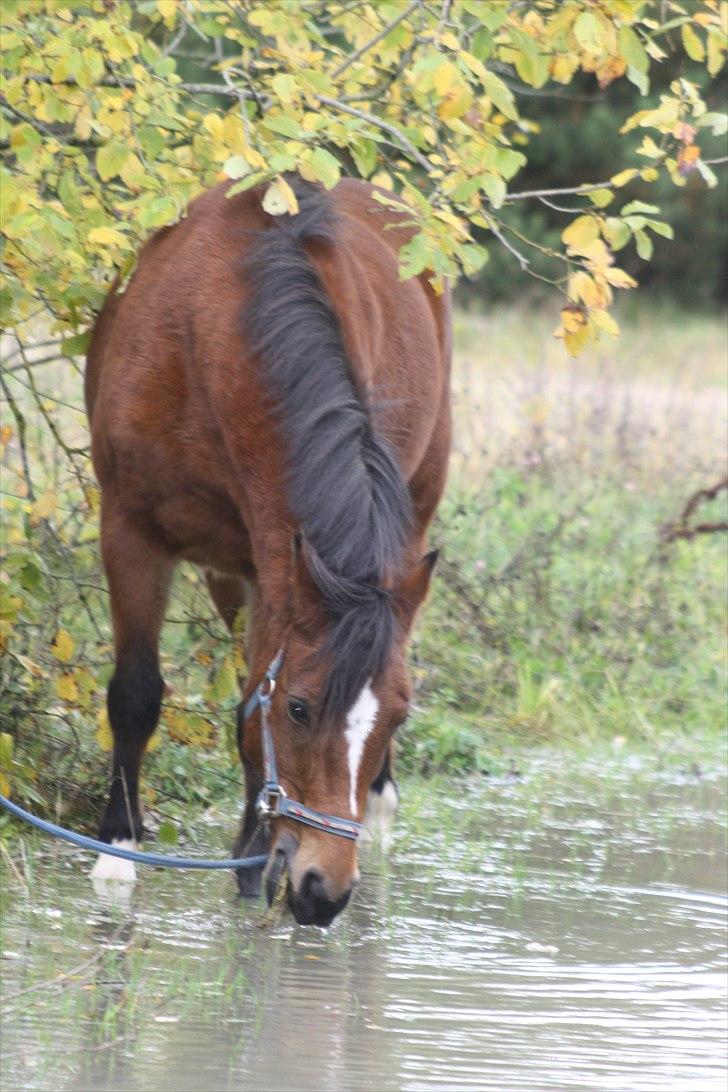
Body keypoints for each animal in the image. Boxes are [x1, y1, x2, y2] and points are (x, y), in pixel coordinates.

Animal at [84, 174, 449, 926]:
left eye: (398, 715)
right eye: (301, 710)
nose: (324, 891)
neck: (213, 340)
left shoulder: (271, 564)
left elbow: (251, 703)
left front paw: (254, 867)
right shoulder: (132, 530)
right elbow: (138, 693)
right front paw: (116, 854)